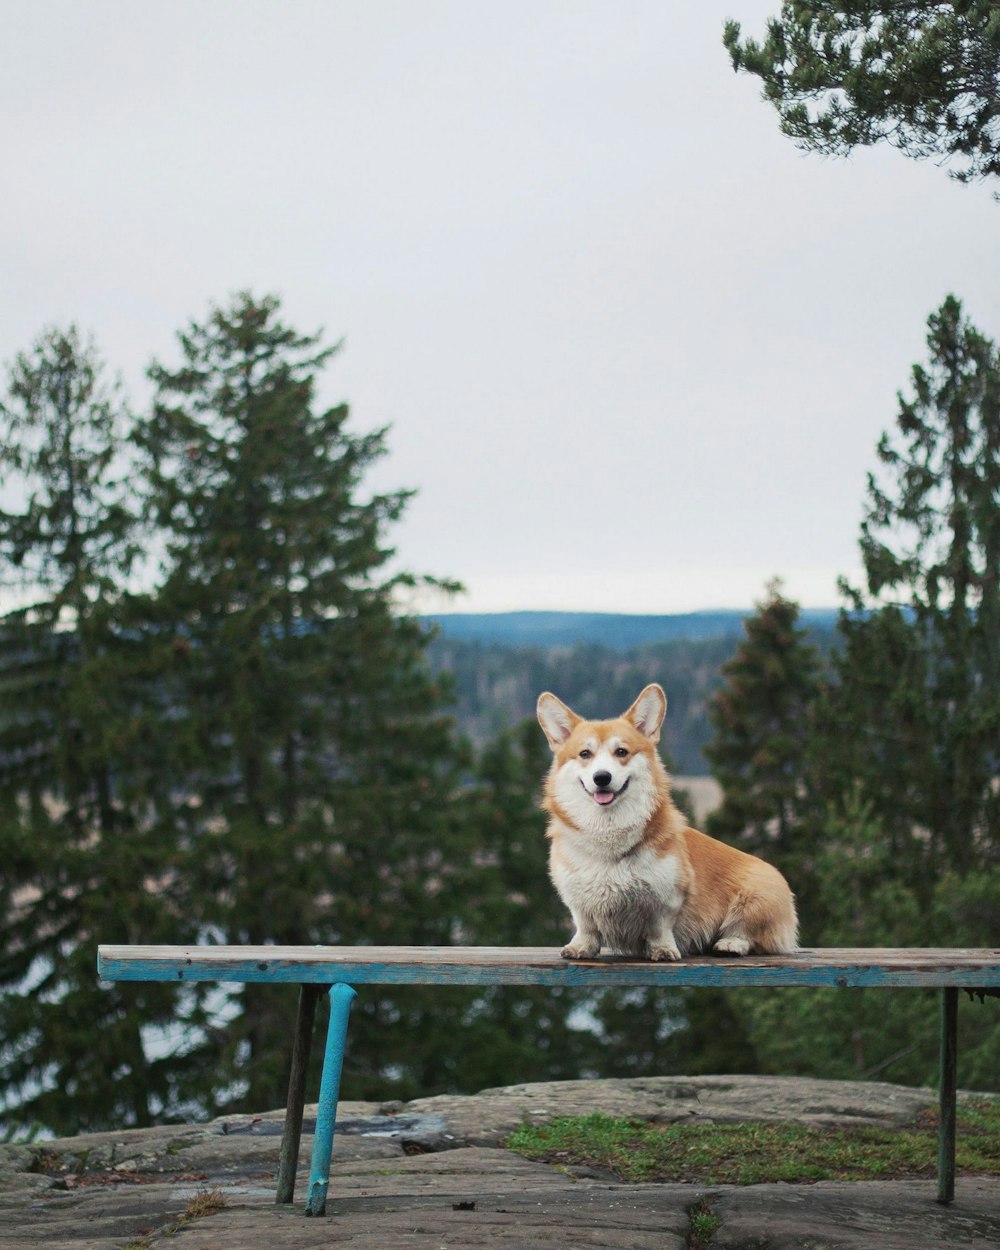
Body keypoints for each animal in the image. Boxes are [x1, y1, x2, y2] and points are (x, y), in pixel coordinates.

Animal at [535, 685, 800, 955]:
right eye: (585, 754)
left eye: (621, 752)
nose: (602, 777)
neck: (608, 833)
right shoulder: (577, 899)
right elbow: (586, 926)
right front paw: (580, 947)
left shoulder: (668, 895)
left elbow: (659, 926)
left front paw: (663, 950)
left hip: (758, 896)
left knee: (751, 934)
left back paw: (730, 943)